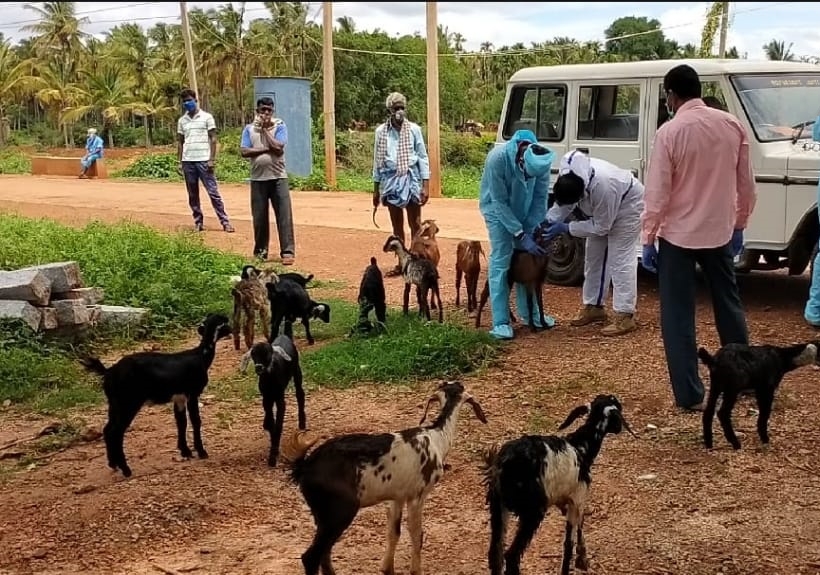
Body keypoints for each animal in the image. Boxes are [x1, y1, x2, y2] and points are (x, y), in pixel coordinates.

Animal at [78, 312, 232, 480]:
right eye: (224, 323)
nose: (232, 330)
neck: (201, 356)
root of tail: (109, 371)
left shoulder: (179, 398)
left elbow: (181, 422)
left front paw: (185, 451)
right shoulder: (193, 393)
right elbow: (196, 421)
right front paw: (201, 452)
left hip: (114, 403)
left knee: (107, 429)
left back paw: (113, 464)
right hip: (129, 403)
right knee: (116, 432)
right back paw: (126, 469)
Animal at [237, 336, 308, 466]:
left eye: (268, 353)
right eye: (253, 354)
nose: (259, 367)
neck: (270, 379)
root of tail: (283, 336)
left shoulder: (280, 399)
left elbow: (278, 424)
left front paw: (273, 454)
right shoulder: (266, 398)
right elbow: (270, 421)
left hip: (297, 371)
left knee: (300, 394)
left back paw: (302, 424)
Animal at [284, 382, 486, 575]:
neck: (437, 437)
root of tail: (305, 466)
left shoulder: (398, 497)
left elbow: (394, 532)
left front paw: (387, 568)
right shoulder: (417, 495)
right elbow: (416, 534)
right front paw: (415, 570)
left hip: (323, 515)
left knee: (324, 553)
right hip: (340, 510)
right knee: (311, 557)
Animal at [480, 394, 636, 575]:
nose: (619, 429)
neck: (581, 447)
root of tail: (502, 466)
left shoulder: (565, 502)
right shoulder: (578, 499)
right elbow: (570, 542)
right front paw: (579, 560)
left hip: (498, 507)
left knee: (495, 554)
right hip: (532, 511)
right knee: (511, 555)